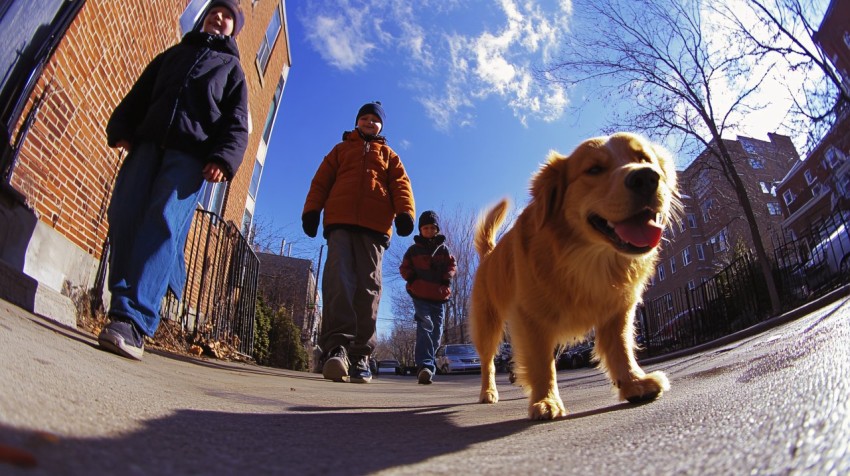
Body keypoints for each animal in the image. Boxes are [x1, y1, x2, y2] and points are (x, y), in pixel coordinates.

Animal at [470, 132, 676, 418]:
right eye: (594, 169)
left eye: (644, 159)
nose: (646, 177)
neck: (586, 258)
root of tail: (489, 255)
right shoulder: (531, 318)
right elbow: (541, 363)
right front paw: (546, 400)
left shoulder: (618, 312)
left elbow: (621, 348)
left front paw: (633, 382)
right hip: (488, 326)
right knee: (488, 362)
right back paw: (488, 391)